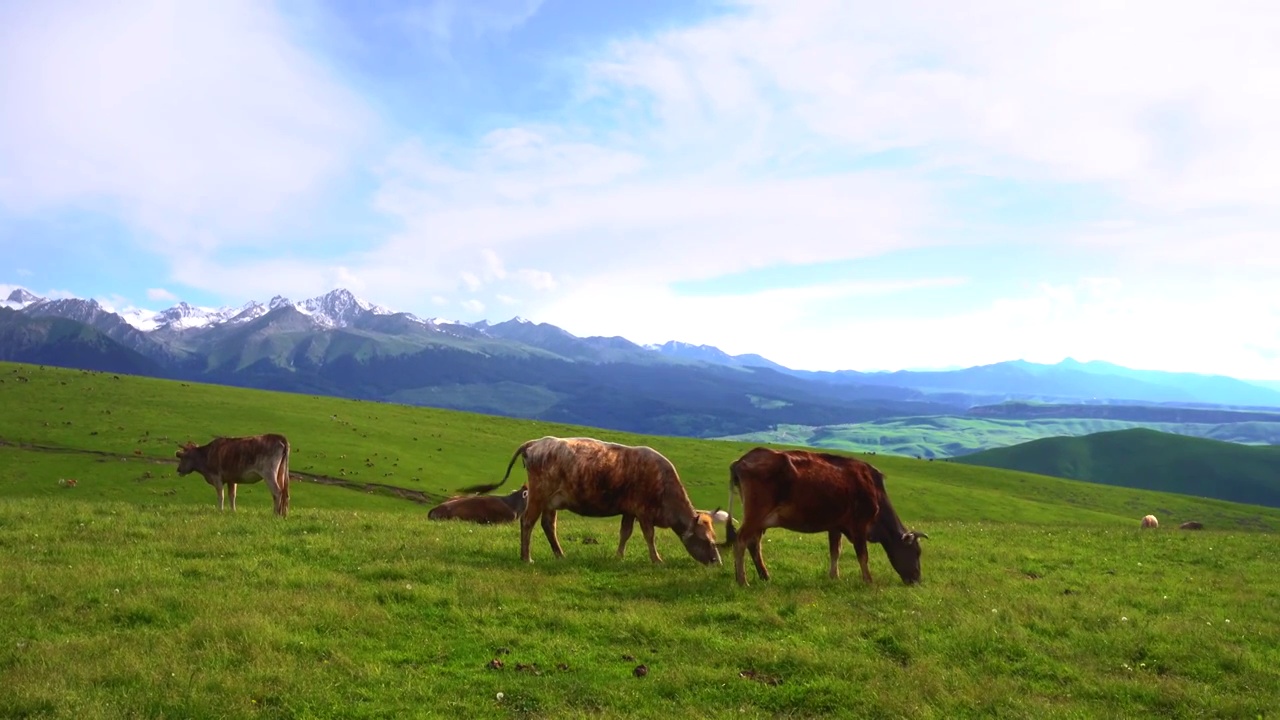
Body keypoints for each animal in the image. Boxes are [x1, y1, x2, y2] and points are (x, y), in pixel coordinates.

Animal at [463, 435, 727, 563]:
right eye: (707, 540)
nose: (717, 561)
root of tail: (537, 442)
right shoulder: (643, 512)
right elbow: (649, 536)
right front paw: (656, 559)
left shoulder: (629, 510)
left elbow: (625, 533)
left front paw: (618, 557)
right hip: (538, 495)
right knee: (527, 522)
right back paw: (526, 557)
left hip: (551, 501)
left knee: (549, 525)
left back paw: (560, 555)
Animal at [727, 445, 926, 586]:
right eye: (916, 552)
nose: (917, 579)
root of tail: (742, 460)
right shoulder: (859, 525)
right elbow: (863, 555)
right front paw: (868, 580)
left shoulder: (835, 526)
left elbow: (835, 551)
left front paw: (834, 577)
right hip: (756, 514)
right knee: (740, 540)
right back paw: (743, 581)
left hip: (760, 519)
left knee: (754, 544)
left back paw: (764, 576)